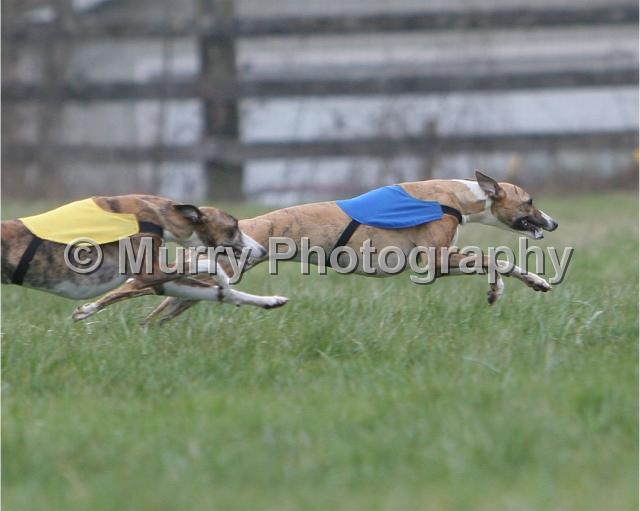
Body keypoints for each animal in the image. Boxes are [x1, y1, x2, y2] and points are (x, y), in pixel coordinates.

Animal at [1, 194, 288, 319]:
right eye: (233, 227)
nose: (263, 250)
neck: (160, 216)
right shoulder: (149, 272)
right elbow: (208, 264)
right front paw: (223, 280)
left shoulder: (163, 283)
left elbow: (225, 294)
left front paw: (270, 300)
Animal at [73, 172, 558, 324]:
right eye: (530, 200)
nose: (552, 222)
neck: (457, 195)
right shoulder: (433, 260)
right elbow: (495, 259)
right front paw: (501, 288)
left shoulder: (436, 263)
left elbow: (504, 265)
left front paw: (530, 284)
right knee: (134, 286)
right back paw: (86, 310)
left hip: (201, 284)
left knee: (158, 310)